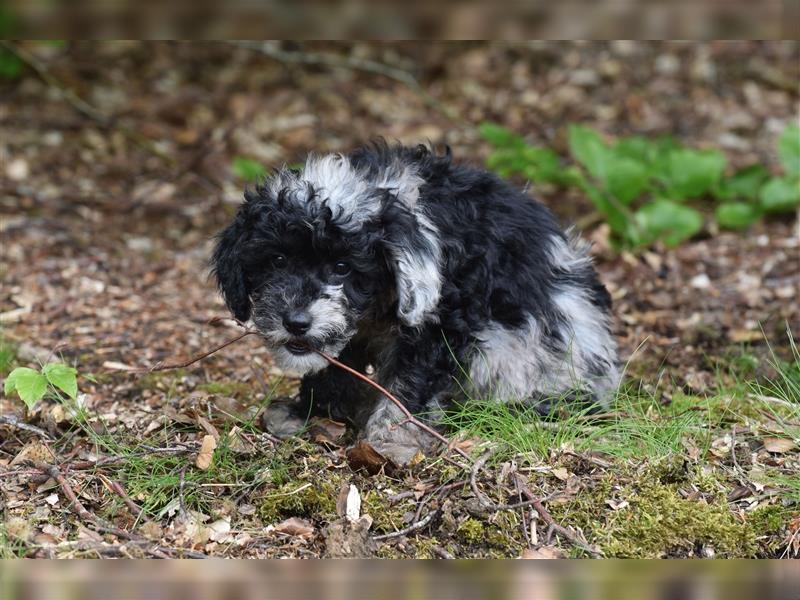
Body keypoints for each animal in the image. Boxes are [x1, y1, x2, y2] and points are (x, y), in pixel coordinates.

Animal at [211, 143, 620, 462]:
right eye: (278, 260)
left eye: (342, 267)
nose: (295, 321)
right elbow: (336, 366)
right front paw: (305, 411)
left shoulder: (440, 322)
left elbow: (409, 382)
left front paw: (389, 440)